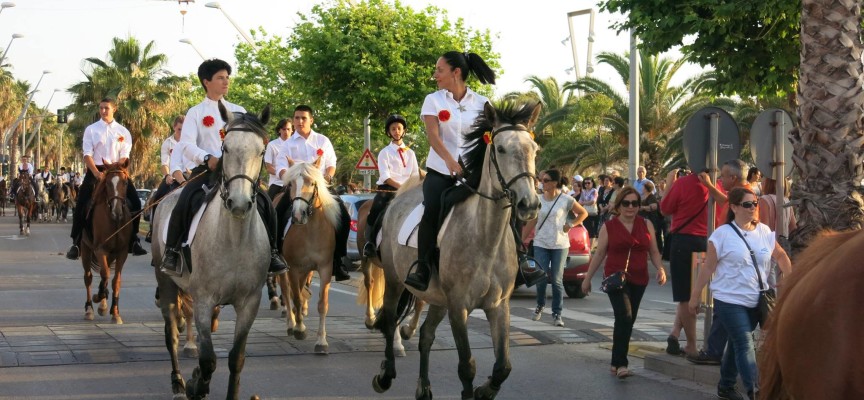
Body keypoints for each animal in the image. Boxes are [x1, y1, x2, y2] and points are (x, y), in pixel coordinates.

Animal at [80, 161, 132, 324]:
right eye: (108, 183)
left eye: (125, 182)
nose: (117, 212)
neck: (114, 220)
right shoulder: (100, 250)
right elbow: (104, 274)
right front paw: (99, 297)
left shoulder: (122, 252)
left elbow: (115, 280)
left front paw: (115, 312)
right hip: (86, 249)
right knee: (89, 277)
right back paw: (90, 308)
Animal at [150, 103, 268, 400]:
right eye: (225, 148)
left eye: (261, 151)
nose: (238, 203)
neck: (235, 240)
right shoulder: (203, 299)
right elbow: (208, 360)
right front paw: (196, 384)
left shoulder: (250, 302)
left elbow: (236, 358)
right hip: (166, 281)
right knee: (172, 335)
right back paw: (179, 383)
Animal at [278, 159, 342, 354]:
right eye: (291, 184)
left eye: (312, 183)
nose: (298, 215)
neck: (310, 230)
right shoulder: (293, 267)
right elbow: (297, 298)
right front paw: (299, 329)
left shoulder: (325, 267)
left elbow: (322, 304)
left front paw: (321, 341)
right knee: (287, 292)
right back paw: (291, 324)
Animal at [372, 101, 540, 398]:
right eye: (500, 149)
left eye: (534, 149)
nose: (528, 204)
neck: (486, 238)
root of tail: (397, 199)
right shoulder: (459, 307)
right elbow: (466, 366)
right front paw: (474, 389)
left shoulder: (498, 306)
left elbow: (503, 366)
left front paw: (485, 390)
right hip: (394, 280)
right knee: (391, 321)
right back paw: (386, 375)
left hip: (438, 298)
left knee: (426, 335)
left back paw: (424, 387)